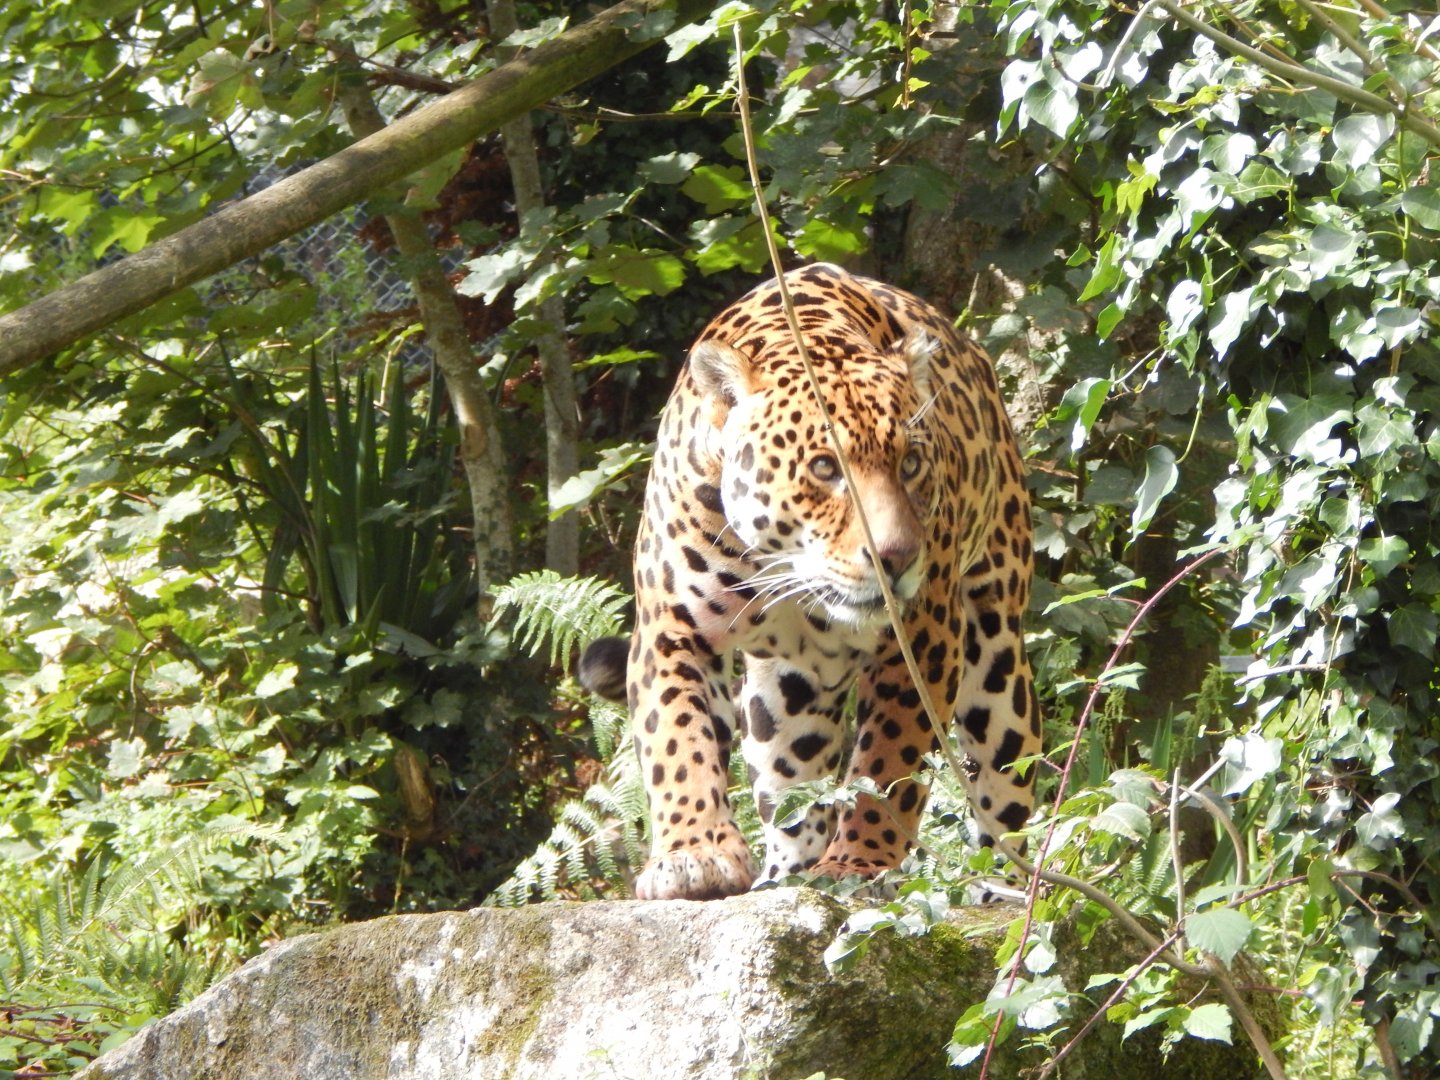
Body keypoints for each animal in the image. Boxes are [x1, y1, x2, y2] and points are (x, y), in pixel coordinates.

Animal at [579, 262, 1040, 901]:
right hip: (782, 697)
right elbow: (676, 737)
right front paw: (694, 854)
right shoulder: (669, 626)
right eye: (825, 467)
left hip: (995, 652)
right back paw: (784, 877)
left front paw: (860, 863)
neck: (783, 565)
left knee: (1006, 783)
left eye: (911, 464)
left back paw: (1005, 886)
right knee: (791, 781)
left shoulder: (925, 636)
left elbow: (888, 766)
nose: (897, 557)